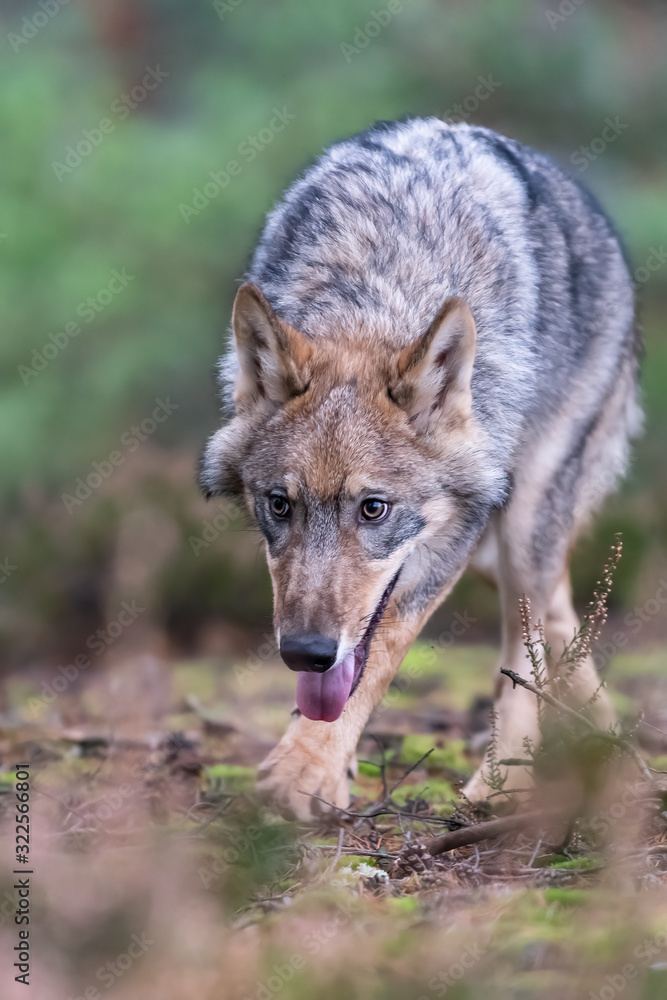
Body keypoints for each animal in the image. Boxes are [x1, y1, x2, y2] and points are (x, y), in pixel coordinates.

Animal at [198, 119, 640, 820]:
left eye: (373, 508)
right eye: (279, 504)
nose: (305, 653)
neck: (377, 291)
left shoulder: (451, 542)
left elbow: (378, 656)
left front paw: (304, 771)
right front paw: (326, 767)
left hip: (522, 518)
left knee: (528, 631)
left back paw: (506, 783)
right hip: (502, 550)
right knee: (560, 618)